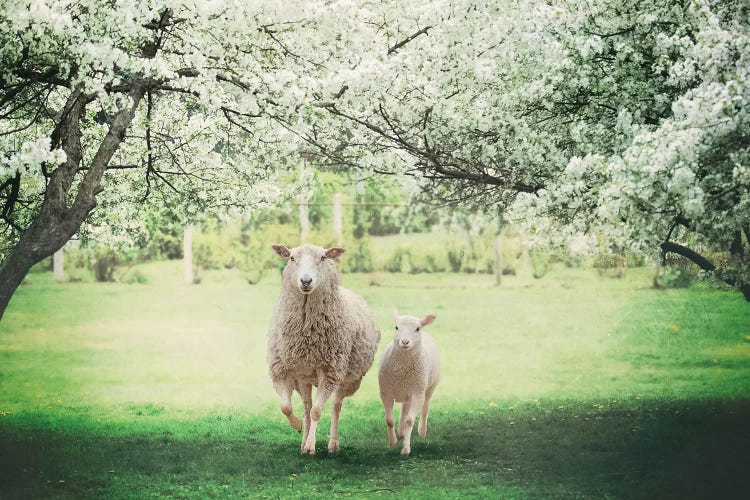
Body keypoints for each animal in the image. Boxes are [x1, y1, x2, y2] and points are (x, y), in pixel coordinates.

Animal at [268, 244, 382, 456]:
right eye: (292, 258)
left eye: (322, 257)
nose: (306, 281)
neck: (306, 332)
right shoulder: (282, 368)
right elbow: (286, 407)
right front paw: (298, 428)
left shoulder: (329, 371)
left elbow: (317, 411)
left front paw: (311, 446)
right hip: (304, 378)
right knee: (306, 407)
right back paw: (303, 439)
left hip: (345, 377)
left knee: (335, 407)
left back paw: (332, 444)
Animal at [382, 306, 440, 456]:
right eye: (396, 327)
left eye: (417, 329)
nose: (405, 342)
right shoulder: (386, 392)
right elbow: (389, 420)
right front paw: (393, 442)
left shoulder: (417, 393)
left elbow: (409, 420)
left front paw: (406, 449)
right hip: (407, 391)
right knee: (404, 408)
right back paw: (401, 432)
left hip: (428, 387)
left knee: (425, 409)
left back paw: (422, 431)